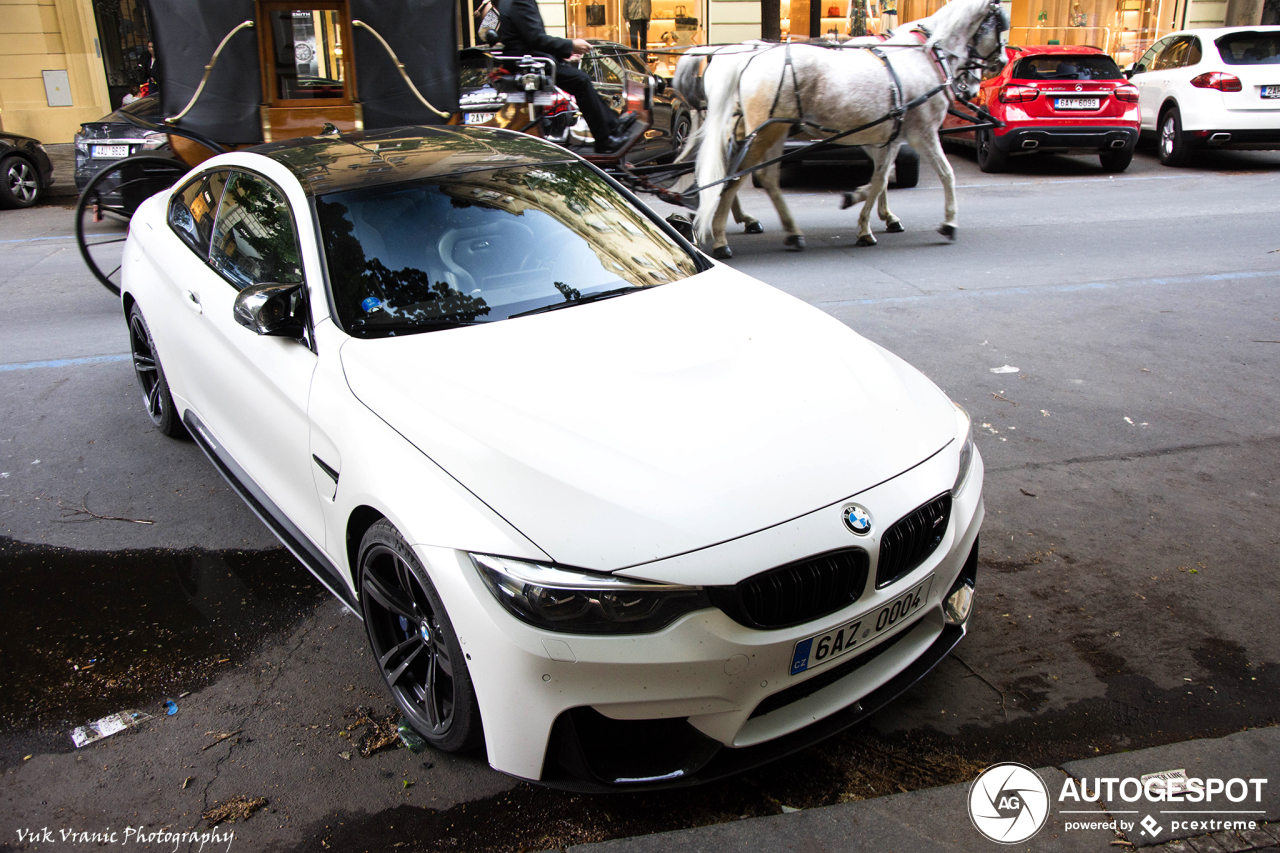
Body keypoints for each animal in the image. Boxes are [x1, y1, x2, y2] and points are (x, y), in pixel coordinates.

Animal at [686, 0, 1003, 256]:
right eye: (1001, 25)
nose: (997, 64)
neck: (923, 56)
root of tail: (748, 57)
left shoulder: (887, 137)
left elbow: (880, 178)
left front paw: (866, 213)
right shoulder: (922, 133)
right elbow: (944, 174)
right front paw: (948, 223)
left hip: (770, 130)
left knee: (762, 177)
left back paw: (788, 231)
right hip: (766, 132)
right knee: (737, 176)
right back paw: (722, 236)